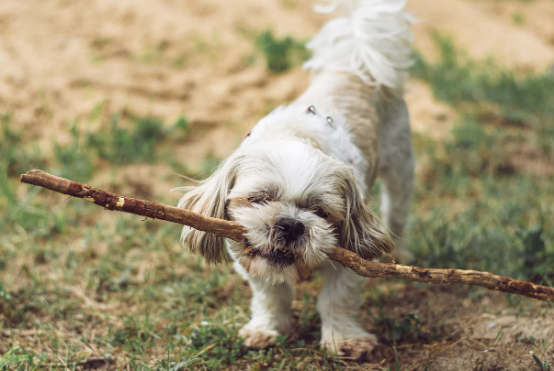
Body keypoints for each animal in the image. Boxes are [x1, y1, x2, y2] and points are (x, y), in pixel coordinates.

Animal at [179, 0, 412, 362]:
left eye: (320, 212)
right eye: (258, 199)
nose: (290, 224)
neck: (294, 134)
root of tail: (353, 67)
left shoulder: (348, 257)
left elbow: (337, 300)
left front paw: (344, 340)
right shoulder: (247, 256)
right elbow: (271, 296)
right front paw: (268, 329)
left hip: (400, 168)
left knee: (397, 212)